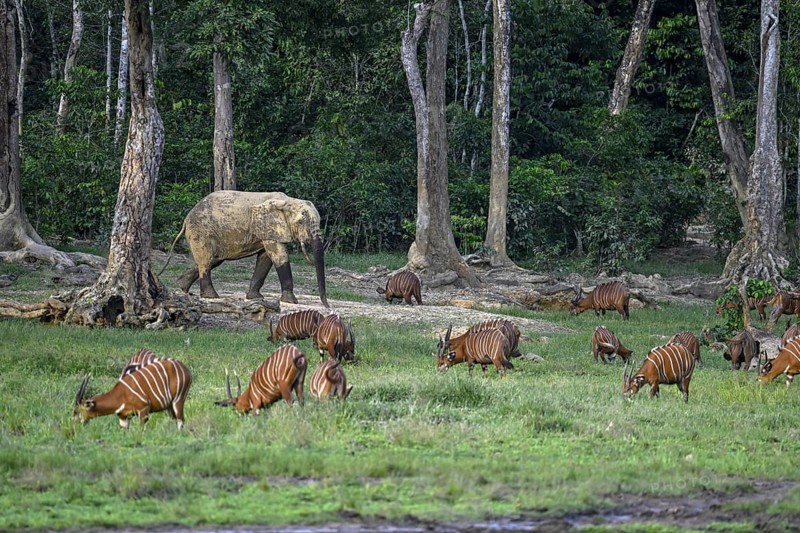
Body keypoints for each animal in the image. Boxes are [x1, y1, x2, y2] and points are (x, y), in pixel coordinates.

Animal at [165, 191, 328, 307]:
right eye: (300, 222)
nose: (326, 306)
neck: (287, 201)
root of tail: (186, 219)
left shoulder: (267, 230)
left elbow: (265, 258)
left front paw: (255, 298)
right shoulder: (268, 225)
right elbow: (279, 256)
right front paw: (291, 301)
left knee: (213, 260)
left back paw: (181, 286)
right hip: (201, 230)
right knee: (207, 260)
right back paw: (211, 296)